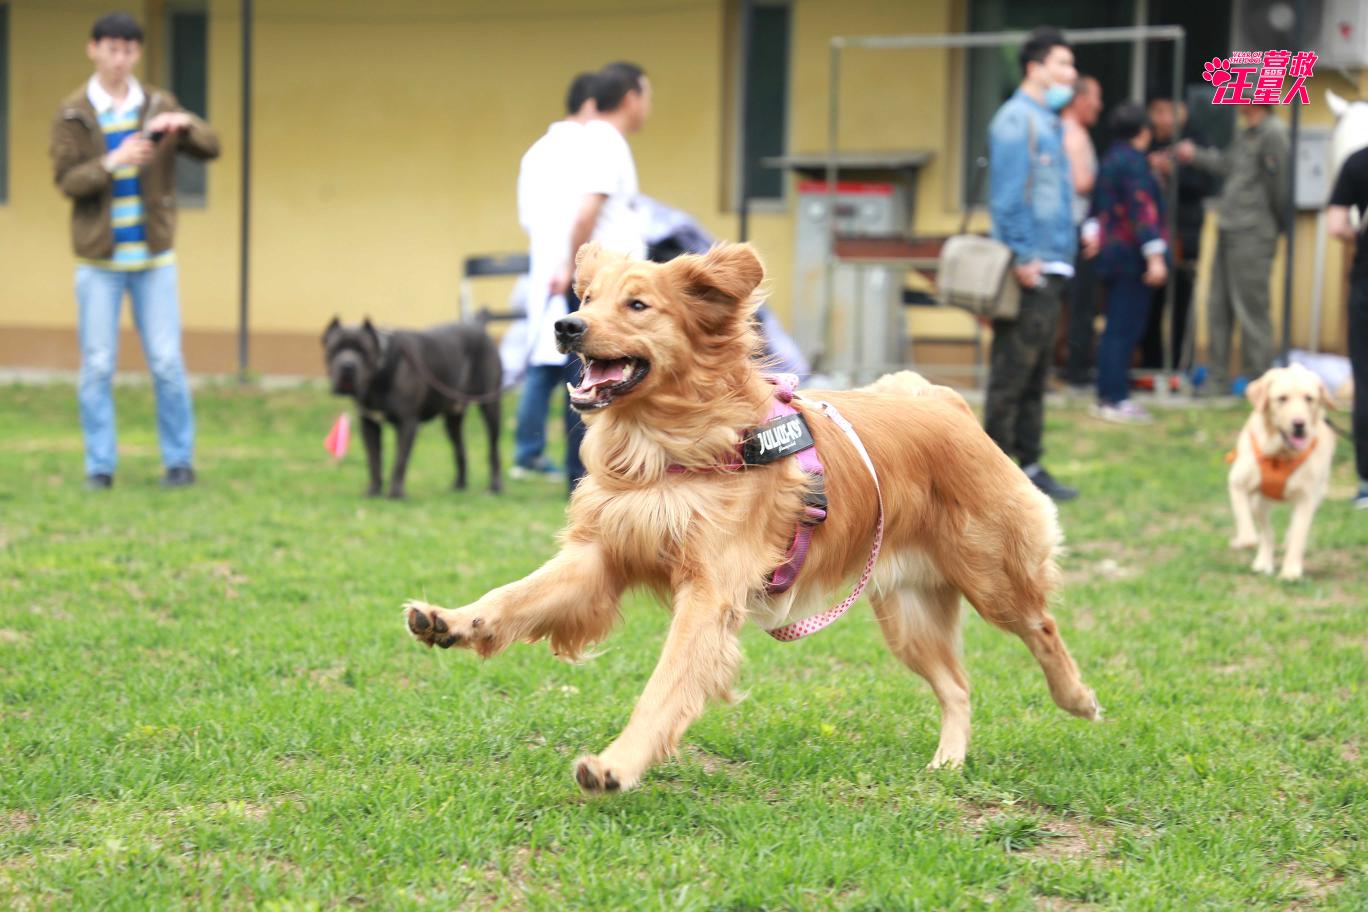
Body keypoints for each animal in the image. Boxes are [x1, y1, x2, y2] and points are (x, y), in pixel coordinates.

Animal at [320, 315, 503, 500]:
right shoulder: (369, 423)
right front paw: (373, 490)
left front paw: (395, 493)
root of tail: (480, 329)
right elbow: (374, 459)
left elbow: (400, 459)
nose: (347, 366)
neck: (379, 375)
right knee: (460, 448)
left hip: (490, 407)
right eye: (334, 349)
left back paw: (494, 487)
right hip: (453, 417)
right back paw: (459, 485)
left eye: (363, 350)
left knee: (493, 449)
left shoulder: (407, 423)